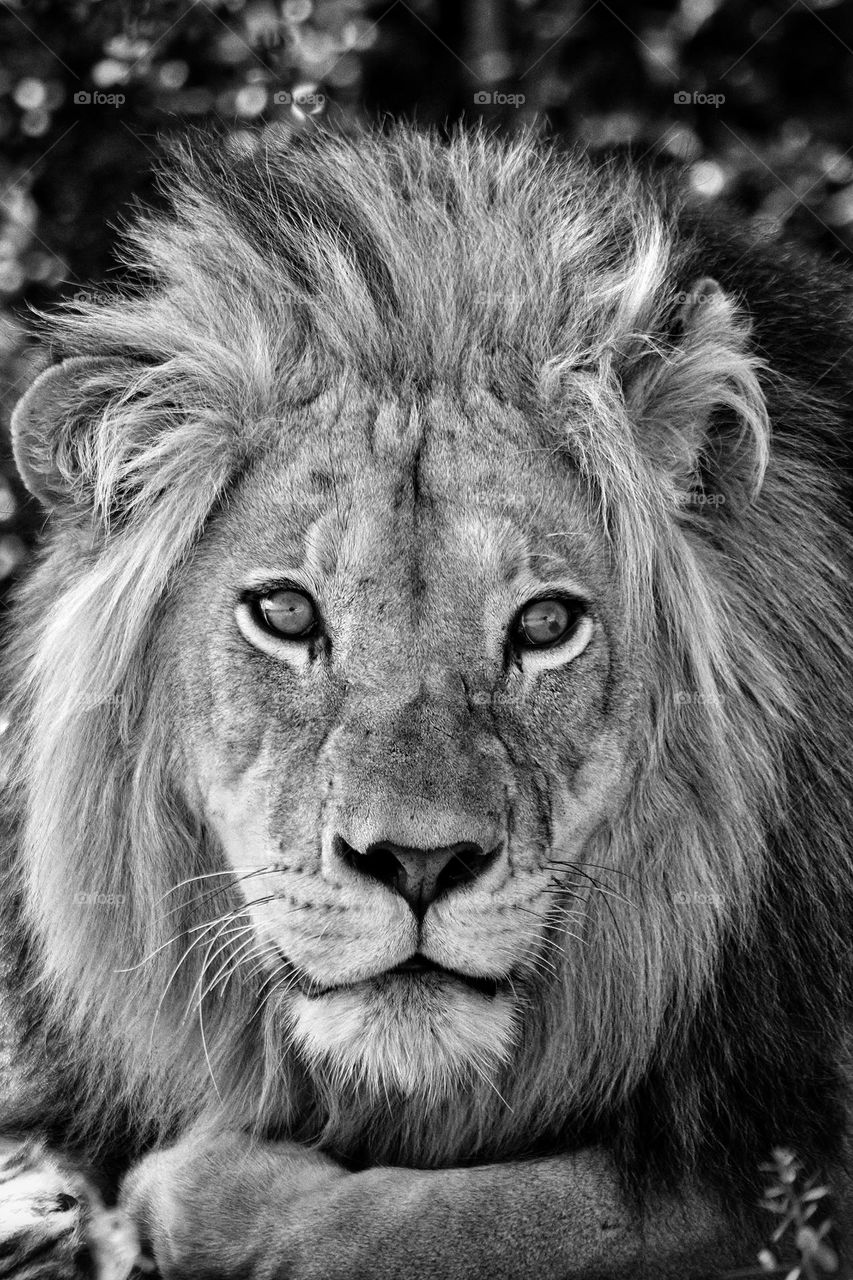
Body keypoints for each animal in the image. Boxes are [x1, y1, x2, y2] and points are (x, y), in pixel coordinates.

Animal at [0, 123, 851, 1280]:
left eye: (544, 624)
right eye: (284, 612)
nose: (417, 863)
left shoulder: (766, 1171)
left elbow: (470, 1223)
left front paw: (185, 1196)